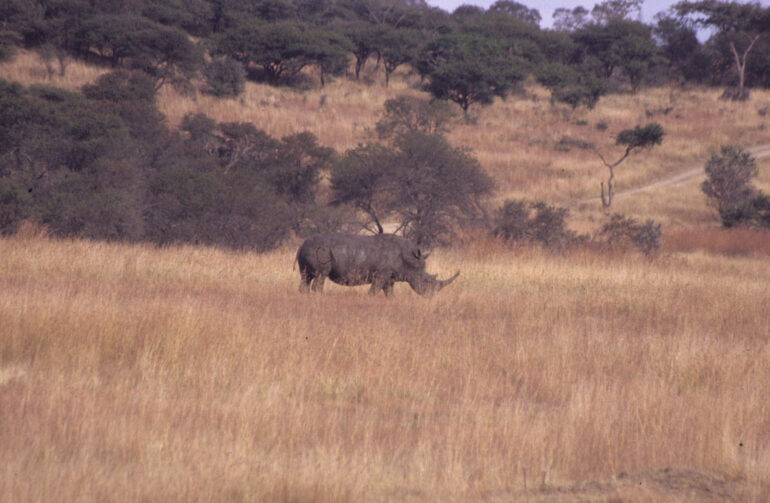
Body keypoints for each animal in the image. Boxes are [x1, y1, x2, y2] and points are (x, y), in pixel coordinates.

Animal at [296, 233, 459, 296]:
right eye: (426, 280)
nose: (432, 296)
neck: (410, 259)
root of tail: (301, 245)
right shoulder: (381, 274)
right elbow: (374, 291)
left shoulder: (390, 277)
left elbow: (390, 293)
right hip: (320, 252)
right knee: (321, 276)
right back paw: (322, 297)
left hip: (310, 250)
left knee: (306, 277)